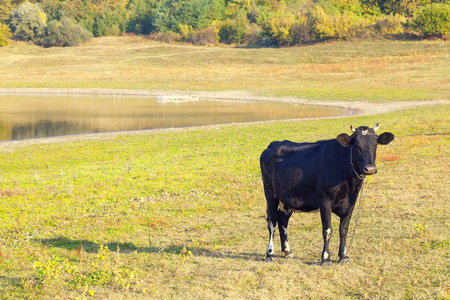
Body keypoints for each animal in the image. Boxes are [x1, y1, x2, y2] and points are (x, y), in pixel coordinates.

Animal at [260, 123, 394, 264]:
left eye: (375, 145)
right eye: (357, 146)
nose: (370, 169)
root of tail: (275, 143)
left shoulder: (351, 202)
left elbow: (344, 229)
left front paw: (344, 256)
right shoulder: (325, 201)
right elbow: (327, 230)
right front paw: (325, 258)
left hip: (286, 199)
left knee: (283, 221)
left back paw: (288, 252)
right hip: (270, 195)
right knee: (272, 222)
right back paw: (270, 254)